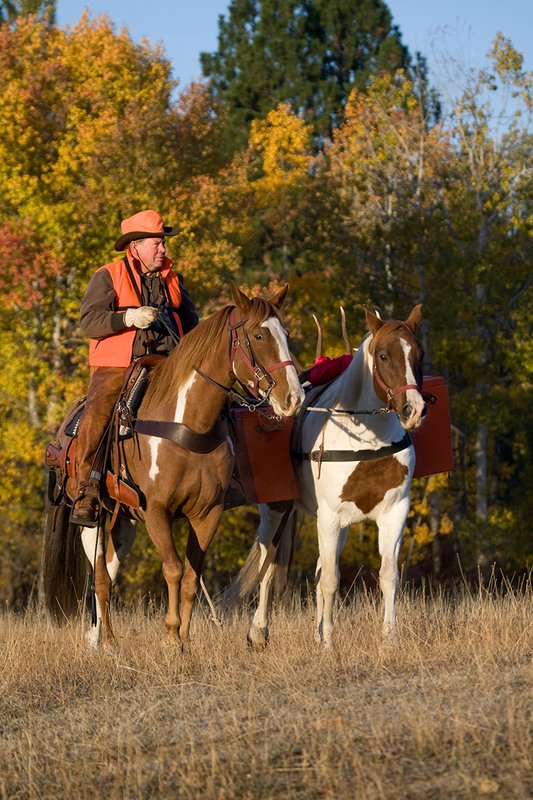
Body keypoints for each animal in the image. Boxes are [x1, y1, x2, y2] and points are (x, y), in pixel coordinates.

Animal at [41, 283, 304, 650]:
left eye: (287, 334)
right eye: (259, 335)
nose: (294, 399)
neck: (187, 422)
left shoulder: (207, 513)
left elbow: (193, 575)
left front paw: (185, 640)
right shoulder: (157, 512)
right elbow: (174, 569)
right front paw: (170, 636)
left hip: (124, 522)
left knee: (109, 569)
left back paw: (100, 636)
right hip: (93, 519)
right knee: (101, 578)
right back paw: (106, 641)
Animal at [224, 304, 425, 650]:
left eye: (418, 353)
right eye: (384, 356)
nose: (414, 410)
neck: (368, 439)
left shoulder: (394, 511)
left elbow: (387, 575)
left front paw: (388, 639)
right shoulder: (329, 516)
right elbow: (330, 579)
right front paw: (329, 644)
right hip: (276, 511)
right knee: (268, 565)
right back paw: (258, 631)